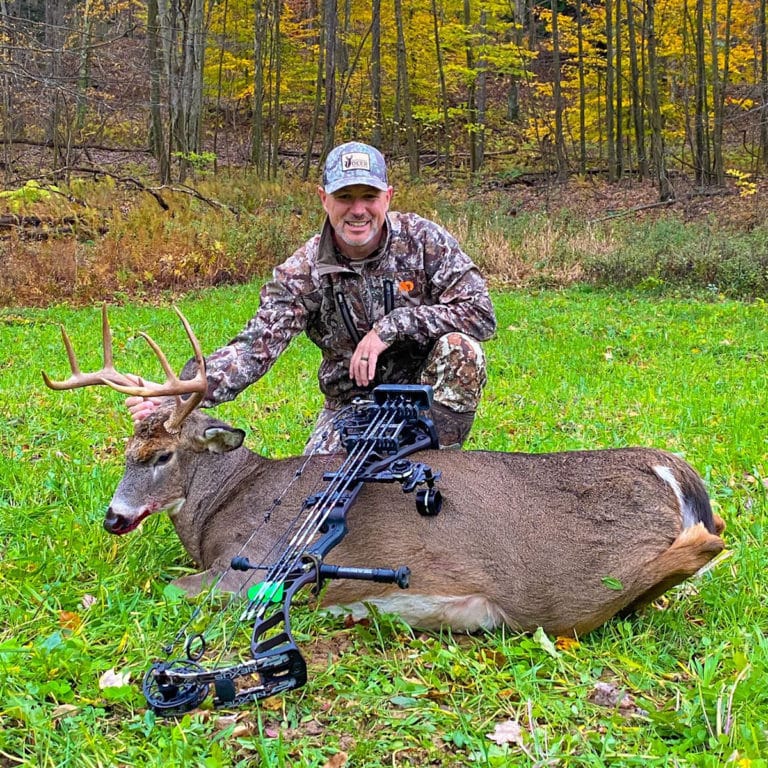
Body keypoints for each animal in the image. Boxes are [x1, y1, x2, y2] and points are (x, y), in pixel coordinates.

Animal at [43, 306, 726, 638]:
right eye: (125, 451)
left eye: (161, 456)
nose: (113, 518)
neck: (224, 506)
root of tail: (672, 471)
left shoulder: (250, 569)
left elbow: (167, 587)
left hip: (567, 581)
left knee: (697, 552)